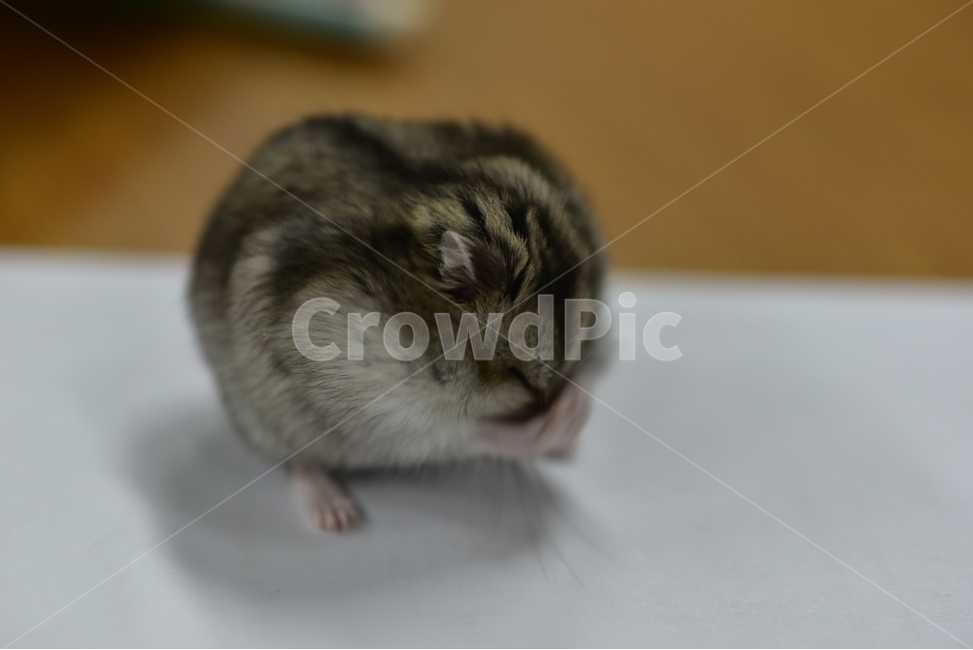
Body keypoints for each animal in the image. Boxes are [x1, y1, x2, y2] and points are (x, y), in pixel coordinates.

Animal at [189, 115, 607, 531]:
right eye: (520, 376)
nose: (562, 395)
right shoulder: (383, 401)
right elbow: (479, 431)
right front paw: (571, 412)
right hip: (268, 418)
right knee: (301, 460)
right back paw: (336, 517)